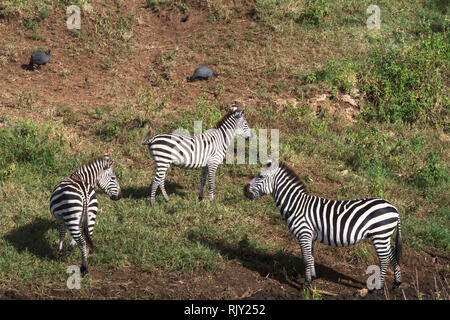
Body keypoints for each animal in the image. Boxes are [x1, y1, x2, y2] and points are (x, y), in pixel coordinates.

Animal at [244, 159, 402, 292]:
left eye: (261, 176)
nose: (244, 190)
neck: (296, 205)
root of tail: (394, 207)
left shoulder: (304, 234)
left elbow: (306, 259)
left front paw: (306, 285)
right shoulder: (309, 236)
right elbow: (311, 257)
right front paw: (312, 278)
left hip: (380, 235)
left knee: (384, 260)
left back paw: (377, 288)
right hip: (384, 236)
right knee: (392, 254)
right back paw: (397, 283)